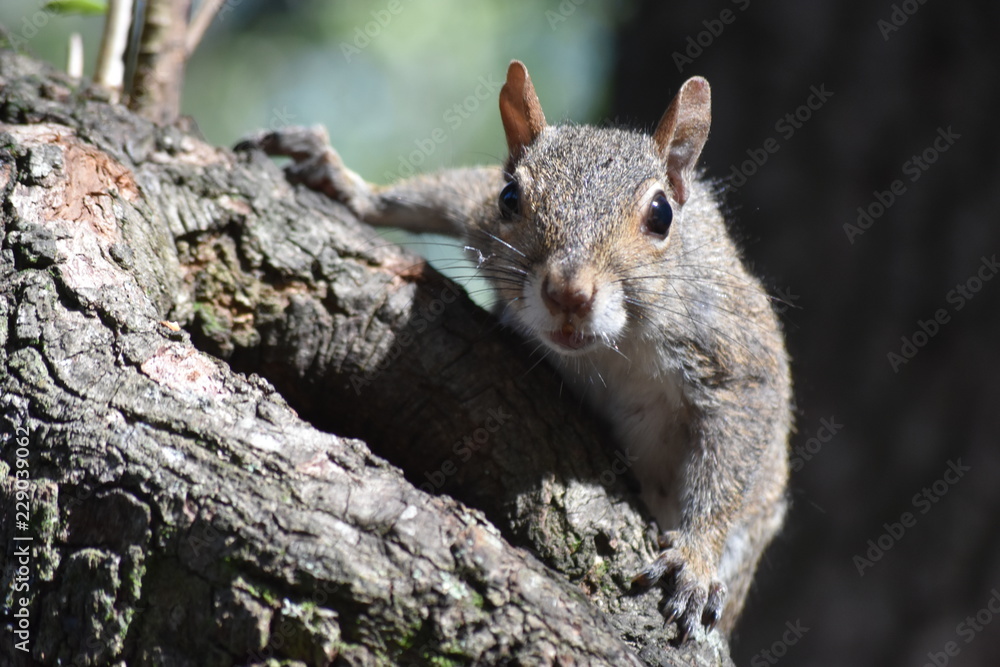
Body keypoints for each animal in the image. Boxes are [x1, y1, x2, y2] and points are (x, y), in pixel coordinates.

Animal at [240, 60, 792, 644]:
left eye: (662, 214)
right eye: (509, 198)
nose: (568, 293)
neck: (611, 349)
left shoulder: (731, 349)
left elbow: (733, 450)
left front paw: (696, 559)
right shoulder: (478, 215)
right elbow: (442, 194)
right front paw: (345, 182)